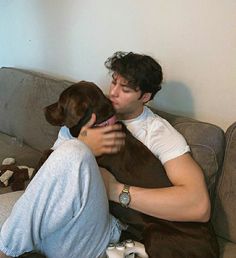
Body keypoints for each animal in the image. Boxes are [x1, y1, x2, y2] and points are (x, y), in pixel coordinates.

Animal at [39, 81, 218, 256]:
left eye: (61, 102)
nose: (44, 109)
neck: (99, 125)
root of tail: (214, 248)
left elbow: (50, 151)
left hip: (156, 233)